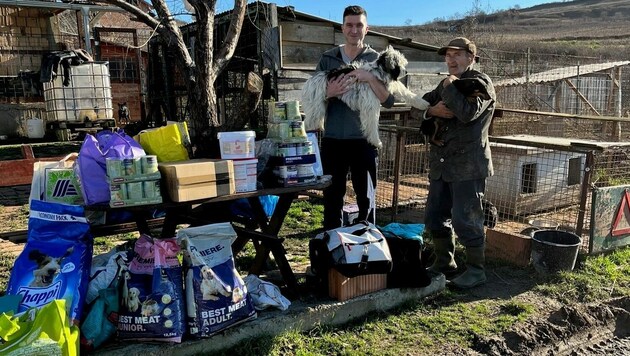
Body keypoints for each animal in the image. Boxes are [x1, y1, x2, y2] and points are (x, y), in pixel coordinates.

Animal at [302, 46, 430, 147]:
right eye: (398, 64)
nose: (406, 71)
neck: (378, 72)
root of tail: (311, 79)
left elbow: (405, 91)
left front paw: (422, 103)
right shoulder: (371, 106)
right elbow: (372, 123)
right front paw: (376, 141)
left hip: (319, 105)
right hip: (315, 107)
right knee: (307, 123)